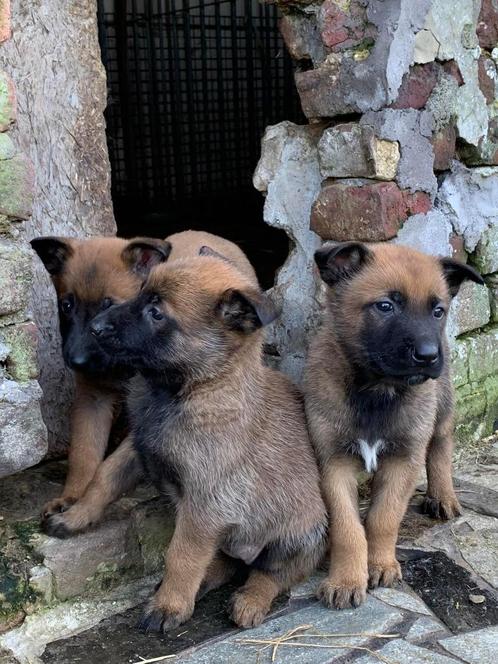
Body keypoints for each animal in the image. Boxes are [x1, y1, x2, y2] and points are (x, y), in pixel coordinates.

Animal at [31, 228, 255, 524]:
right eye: (67, 305)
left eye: (109, 306)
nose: (76, 361)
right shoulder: (92, 398)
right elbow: (83, 452)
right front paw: (72, 497)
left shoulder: (146, 410)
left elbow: (110, 465)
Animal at [304, 241, 482, 608]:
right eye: (385, 306)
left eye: (438, 311)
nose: (428, 355)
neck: (377, 390)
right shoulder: (332, 463)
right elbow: (348, 528)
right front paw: (347, 579)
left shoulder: (404, 459)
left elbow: (384, 517)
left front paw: (381, 564)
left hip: (442, 405)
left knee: (441, 446)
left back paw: (442, 496)